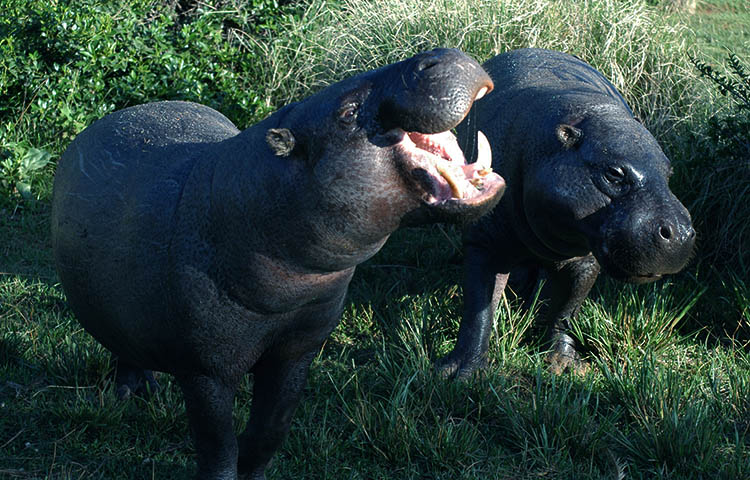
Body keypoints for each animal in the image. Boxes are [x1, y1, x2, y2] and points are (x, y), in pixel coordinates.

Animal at [51, 49, 506, 480]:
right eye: (347, 113)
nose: (439, 55)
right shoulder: (206, 370)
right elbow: (218, 446)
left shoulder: (298, 349)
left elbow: (270, 430)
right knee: (119, 344)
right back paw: (132, 393)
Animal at [440, 48, 700, 378]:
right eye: (614, 173)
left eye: (669, 173)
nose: (679, 233)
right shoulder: (483, 243)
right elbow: (479, 310)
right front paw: (461, 373)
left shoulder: (585, 258)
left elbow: (566, 310)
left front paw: (565, 366)